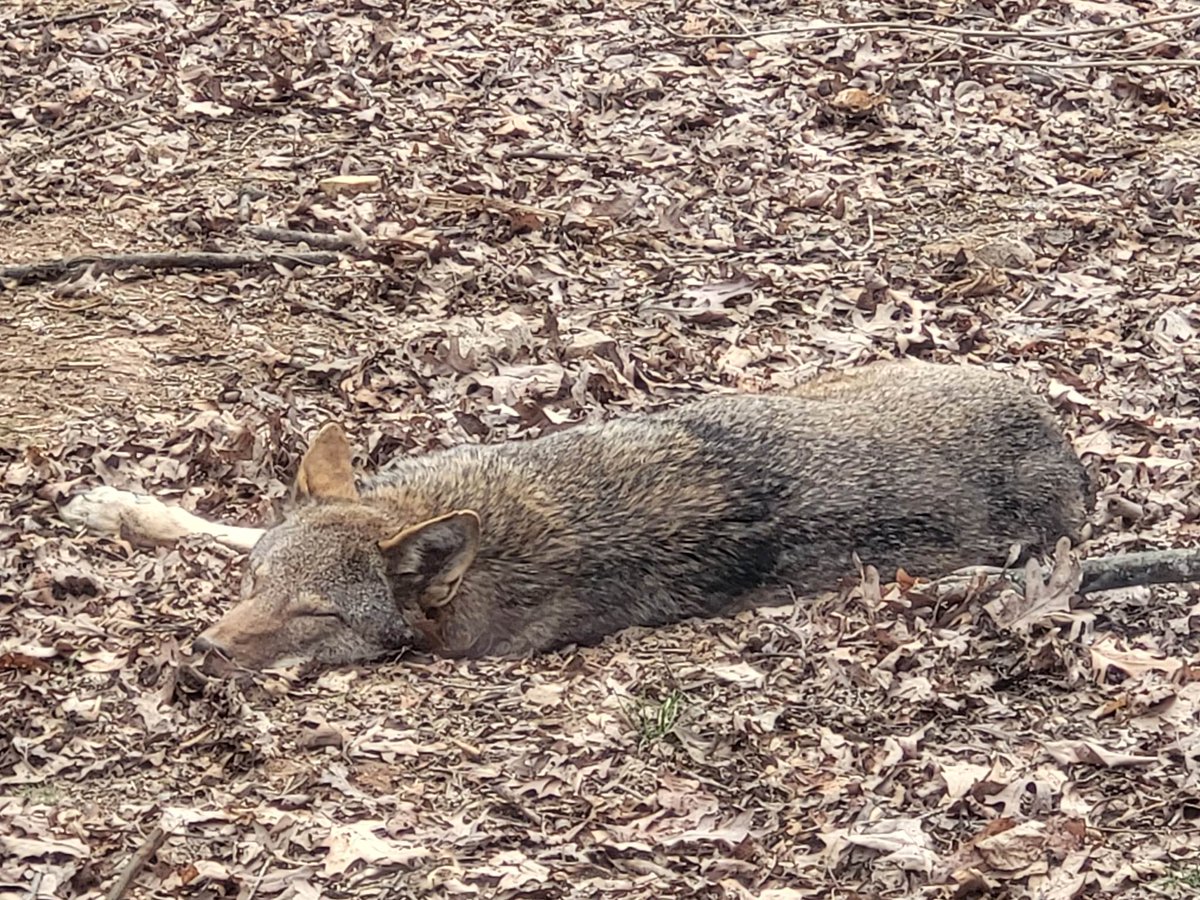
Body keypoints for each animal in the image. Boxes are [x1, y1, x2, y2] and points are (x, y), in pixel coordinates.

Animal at [62, 361, 1094, 669]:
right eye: (257, 584)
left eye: (316, 616)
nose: (206, 649)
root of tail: (1065, 445)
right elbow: (215, 521)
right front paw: (118, 506)